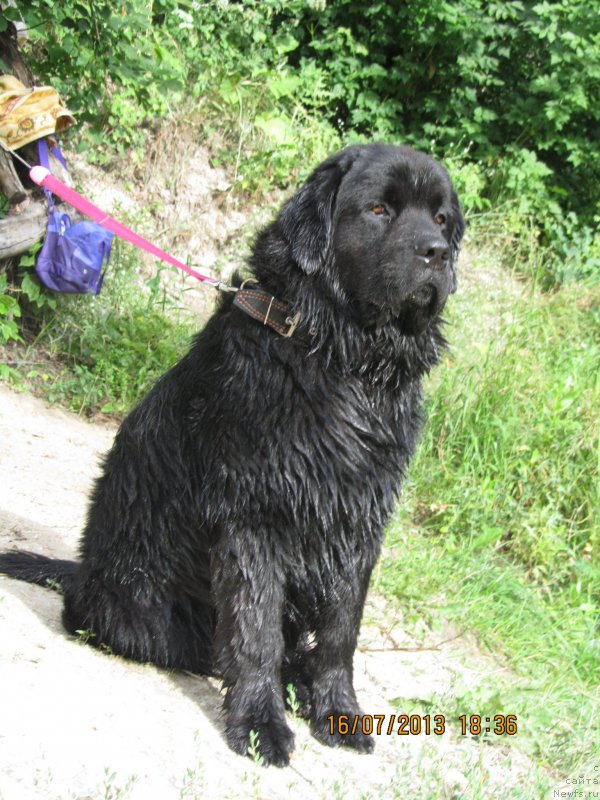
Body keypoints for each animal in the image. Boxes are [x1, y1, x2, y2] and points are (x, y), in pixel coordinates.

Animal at [0, 145, 464, 768]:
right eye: (378, 209)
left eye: (441, 218)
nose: (437, 253)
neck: (344, 361)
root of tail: (84, 575)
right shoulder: (256, 513)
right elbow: (254, 629)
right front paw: (260, 723)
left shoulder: (359, 519)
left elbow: (342, 629)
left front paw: (337, 712)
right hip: (136, 610)